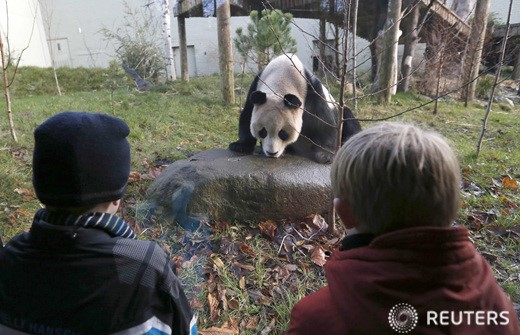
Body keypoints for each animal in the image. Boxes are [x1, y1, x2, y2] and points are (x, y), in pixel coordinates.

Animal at [230, 53, 360, 165]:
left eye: (283, 133)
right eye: (262, 131)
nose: (272, 153)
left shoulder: (311, 88)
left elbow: (322, 121)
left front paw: (325, 155)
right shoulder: (256, 85)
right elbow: (247, 115)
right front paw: (240, 146)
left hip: (338, 109)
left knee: (349, 119)